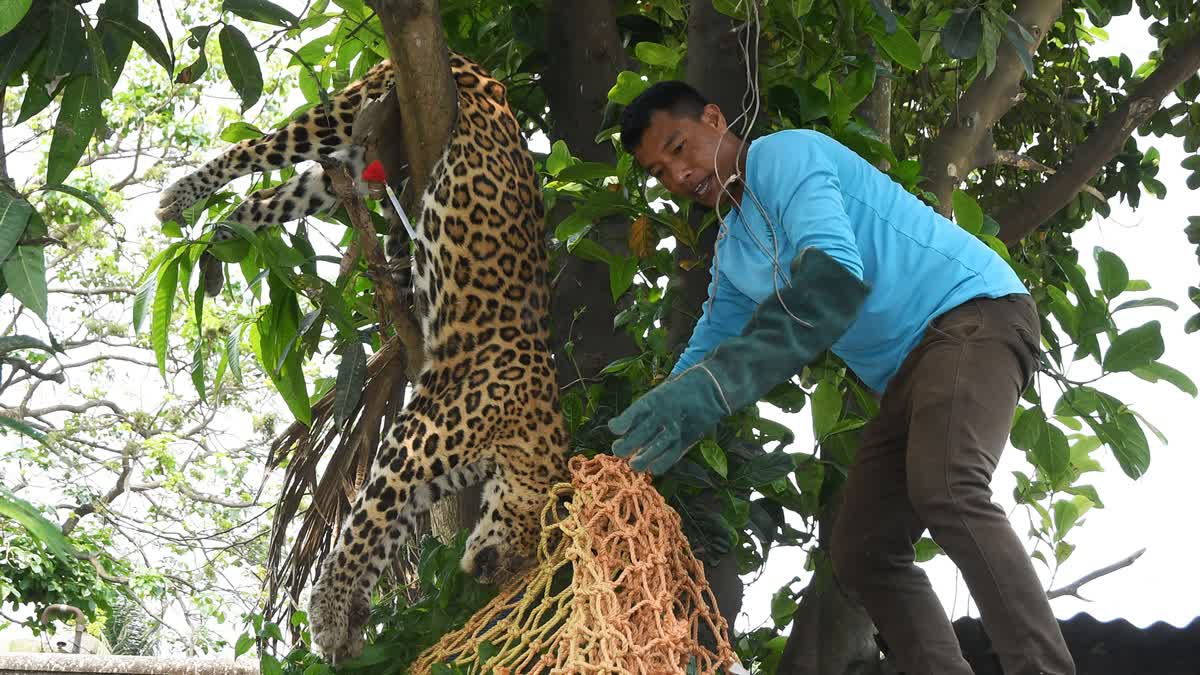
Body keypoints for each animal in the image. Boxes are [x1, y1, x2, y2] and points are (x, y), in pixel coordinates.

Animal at [155, 52, 570, 663]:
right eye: (532, 546)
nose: (491, 577)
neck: (534, 431)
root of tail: (477, 67)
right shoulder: (415, 441)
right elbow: (365, 522)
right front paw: (329, 611)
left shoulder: (424, 470)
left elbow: (384, 533)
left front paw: (347, 616)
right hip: (343, 114)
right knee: (255, 146)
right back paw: (181, 195)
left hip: (344, 169)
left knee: (266, 198)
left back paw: (217, 241)